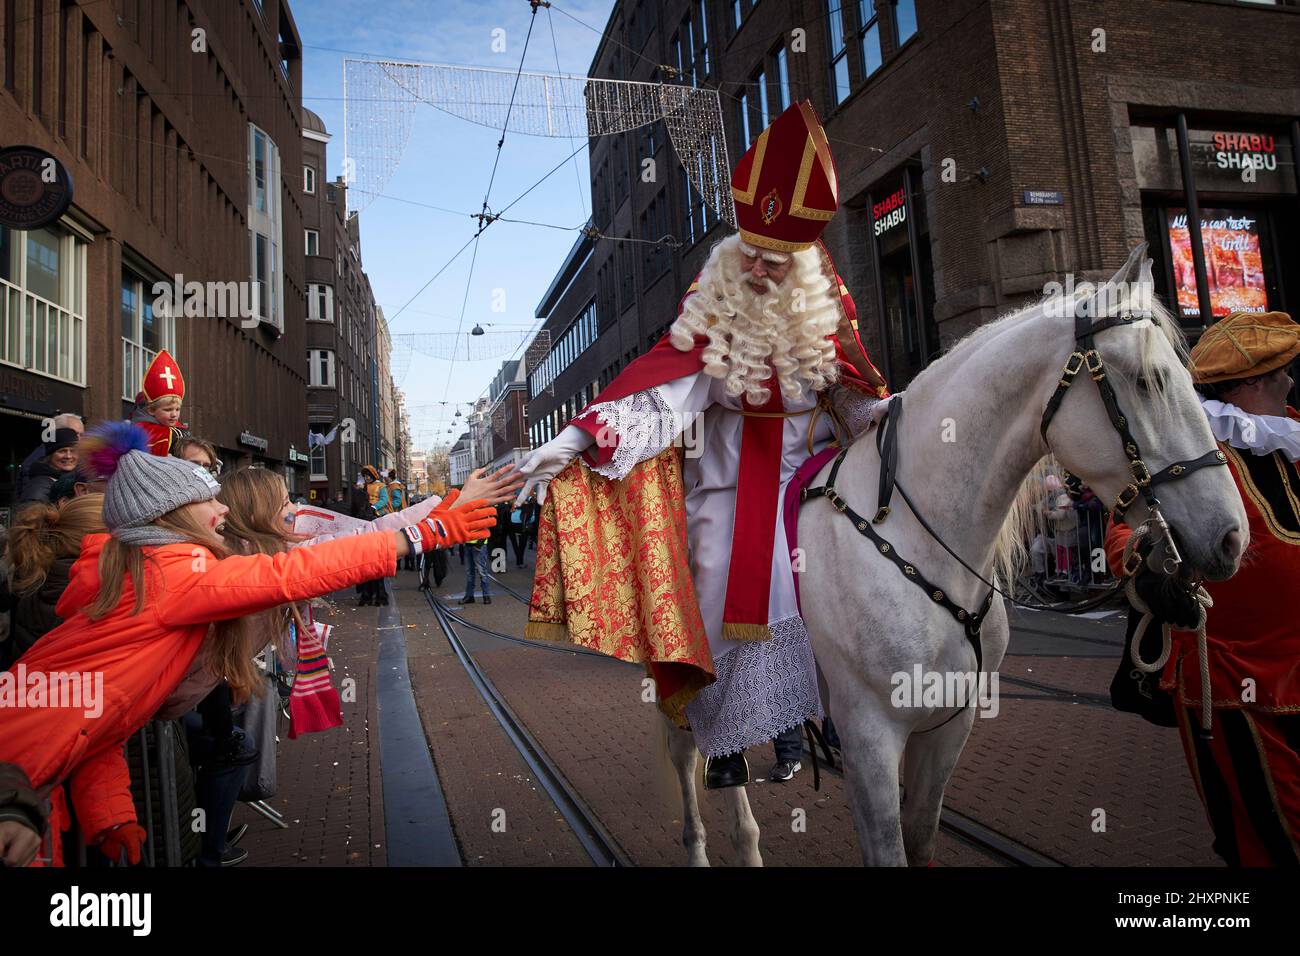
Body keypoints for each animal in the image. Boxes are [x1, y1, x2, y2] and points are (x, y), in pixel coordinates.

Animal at [670, 244, 1248, 868]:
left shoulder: (949, 723)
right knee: (688, 758)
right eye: (1149, 382)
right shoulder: (869, 735)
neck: (916, 538)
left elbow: (921, 836)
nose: (1231, 537)